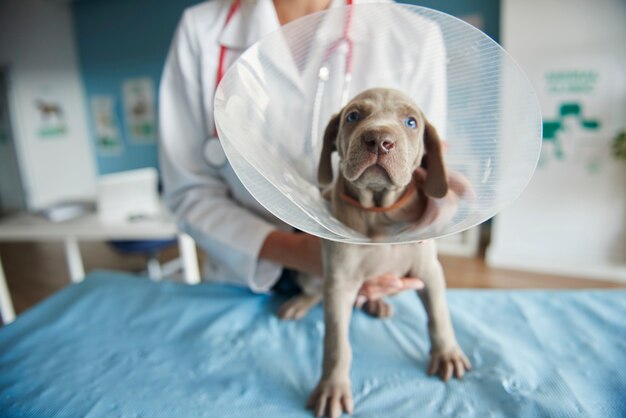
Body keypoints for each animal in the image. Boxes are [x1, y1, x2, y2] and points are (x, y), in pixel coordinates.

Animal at [276, 88, 468, 418]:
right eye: (353, 116)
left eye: (411, 122)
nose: (379, 140)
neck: (379, 211)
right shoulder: (340, 282)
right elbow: (336, 343)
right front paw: (332, 387)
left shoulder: (429, 270)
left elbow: (439, 314)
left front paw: (447, 353)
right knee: (315, 290)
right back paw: (299, 303)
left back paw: (377, 303)